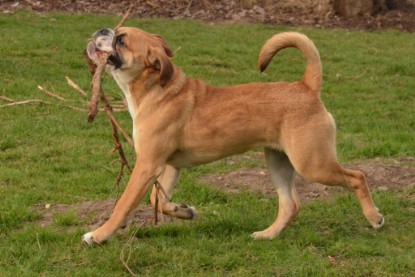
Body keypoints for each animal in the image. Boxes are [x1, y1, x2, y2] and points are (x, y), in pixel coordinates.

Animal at [83, 27, 386, 244]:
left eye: (121, 40)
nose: (101, 30)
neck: (157, 89)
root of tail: (306, 86)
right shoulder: (167, 165)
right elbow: (159, 200)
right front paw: (186, 211)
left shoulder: (147, 166)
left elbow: (124, 204)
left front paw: (99, 235)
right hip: (278, 161)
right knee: (291, 205)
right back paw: (267, 235)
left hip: (313, 164)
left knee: (357, 177)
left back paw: (374, 218)